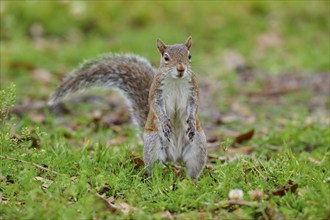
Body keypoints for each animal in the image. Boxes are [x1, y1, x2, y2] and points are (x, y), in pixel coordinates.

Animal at [48, 36, 206, 180]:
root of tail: (174, 157)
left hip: (198, 147)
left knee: (193, 168)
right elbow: (156, 107)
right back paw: (156, 180)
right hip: (153, 146)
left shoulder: (193, 91)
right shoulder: (156, 93)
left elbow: (194, 106)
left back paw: (191, 182)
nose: (181, 69)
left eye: (189, 56)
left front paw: (191, 121)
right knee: (154, 167)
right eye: (166, 58)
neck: (176, 80)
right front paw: (164, 122)